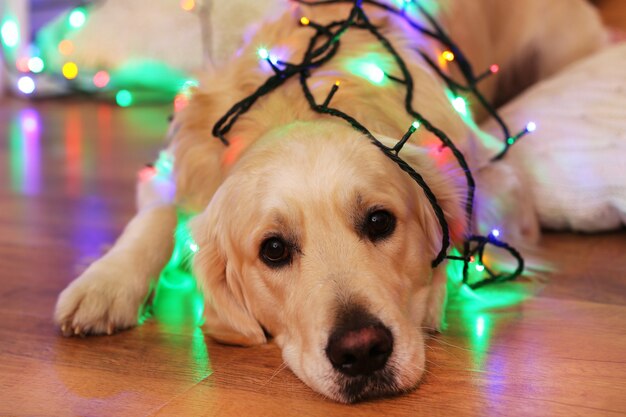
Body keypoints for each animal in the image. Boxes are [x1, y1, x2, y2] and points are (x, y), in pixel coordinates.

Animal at [54, 0, 604, 404]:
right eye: (273, 250)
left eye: (380, 221)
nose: (362, 351)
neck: (300, 100)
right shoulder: (172, 173)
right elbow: (157, 216)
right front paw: (104, 284)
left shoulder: (498, 181)